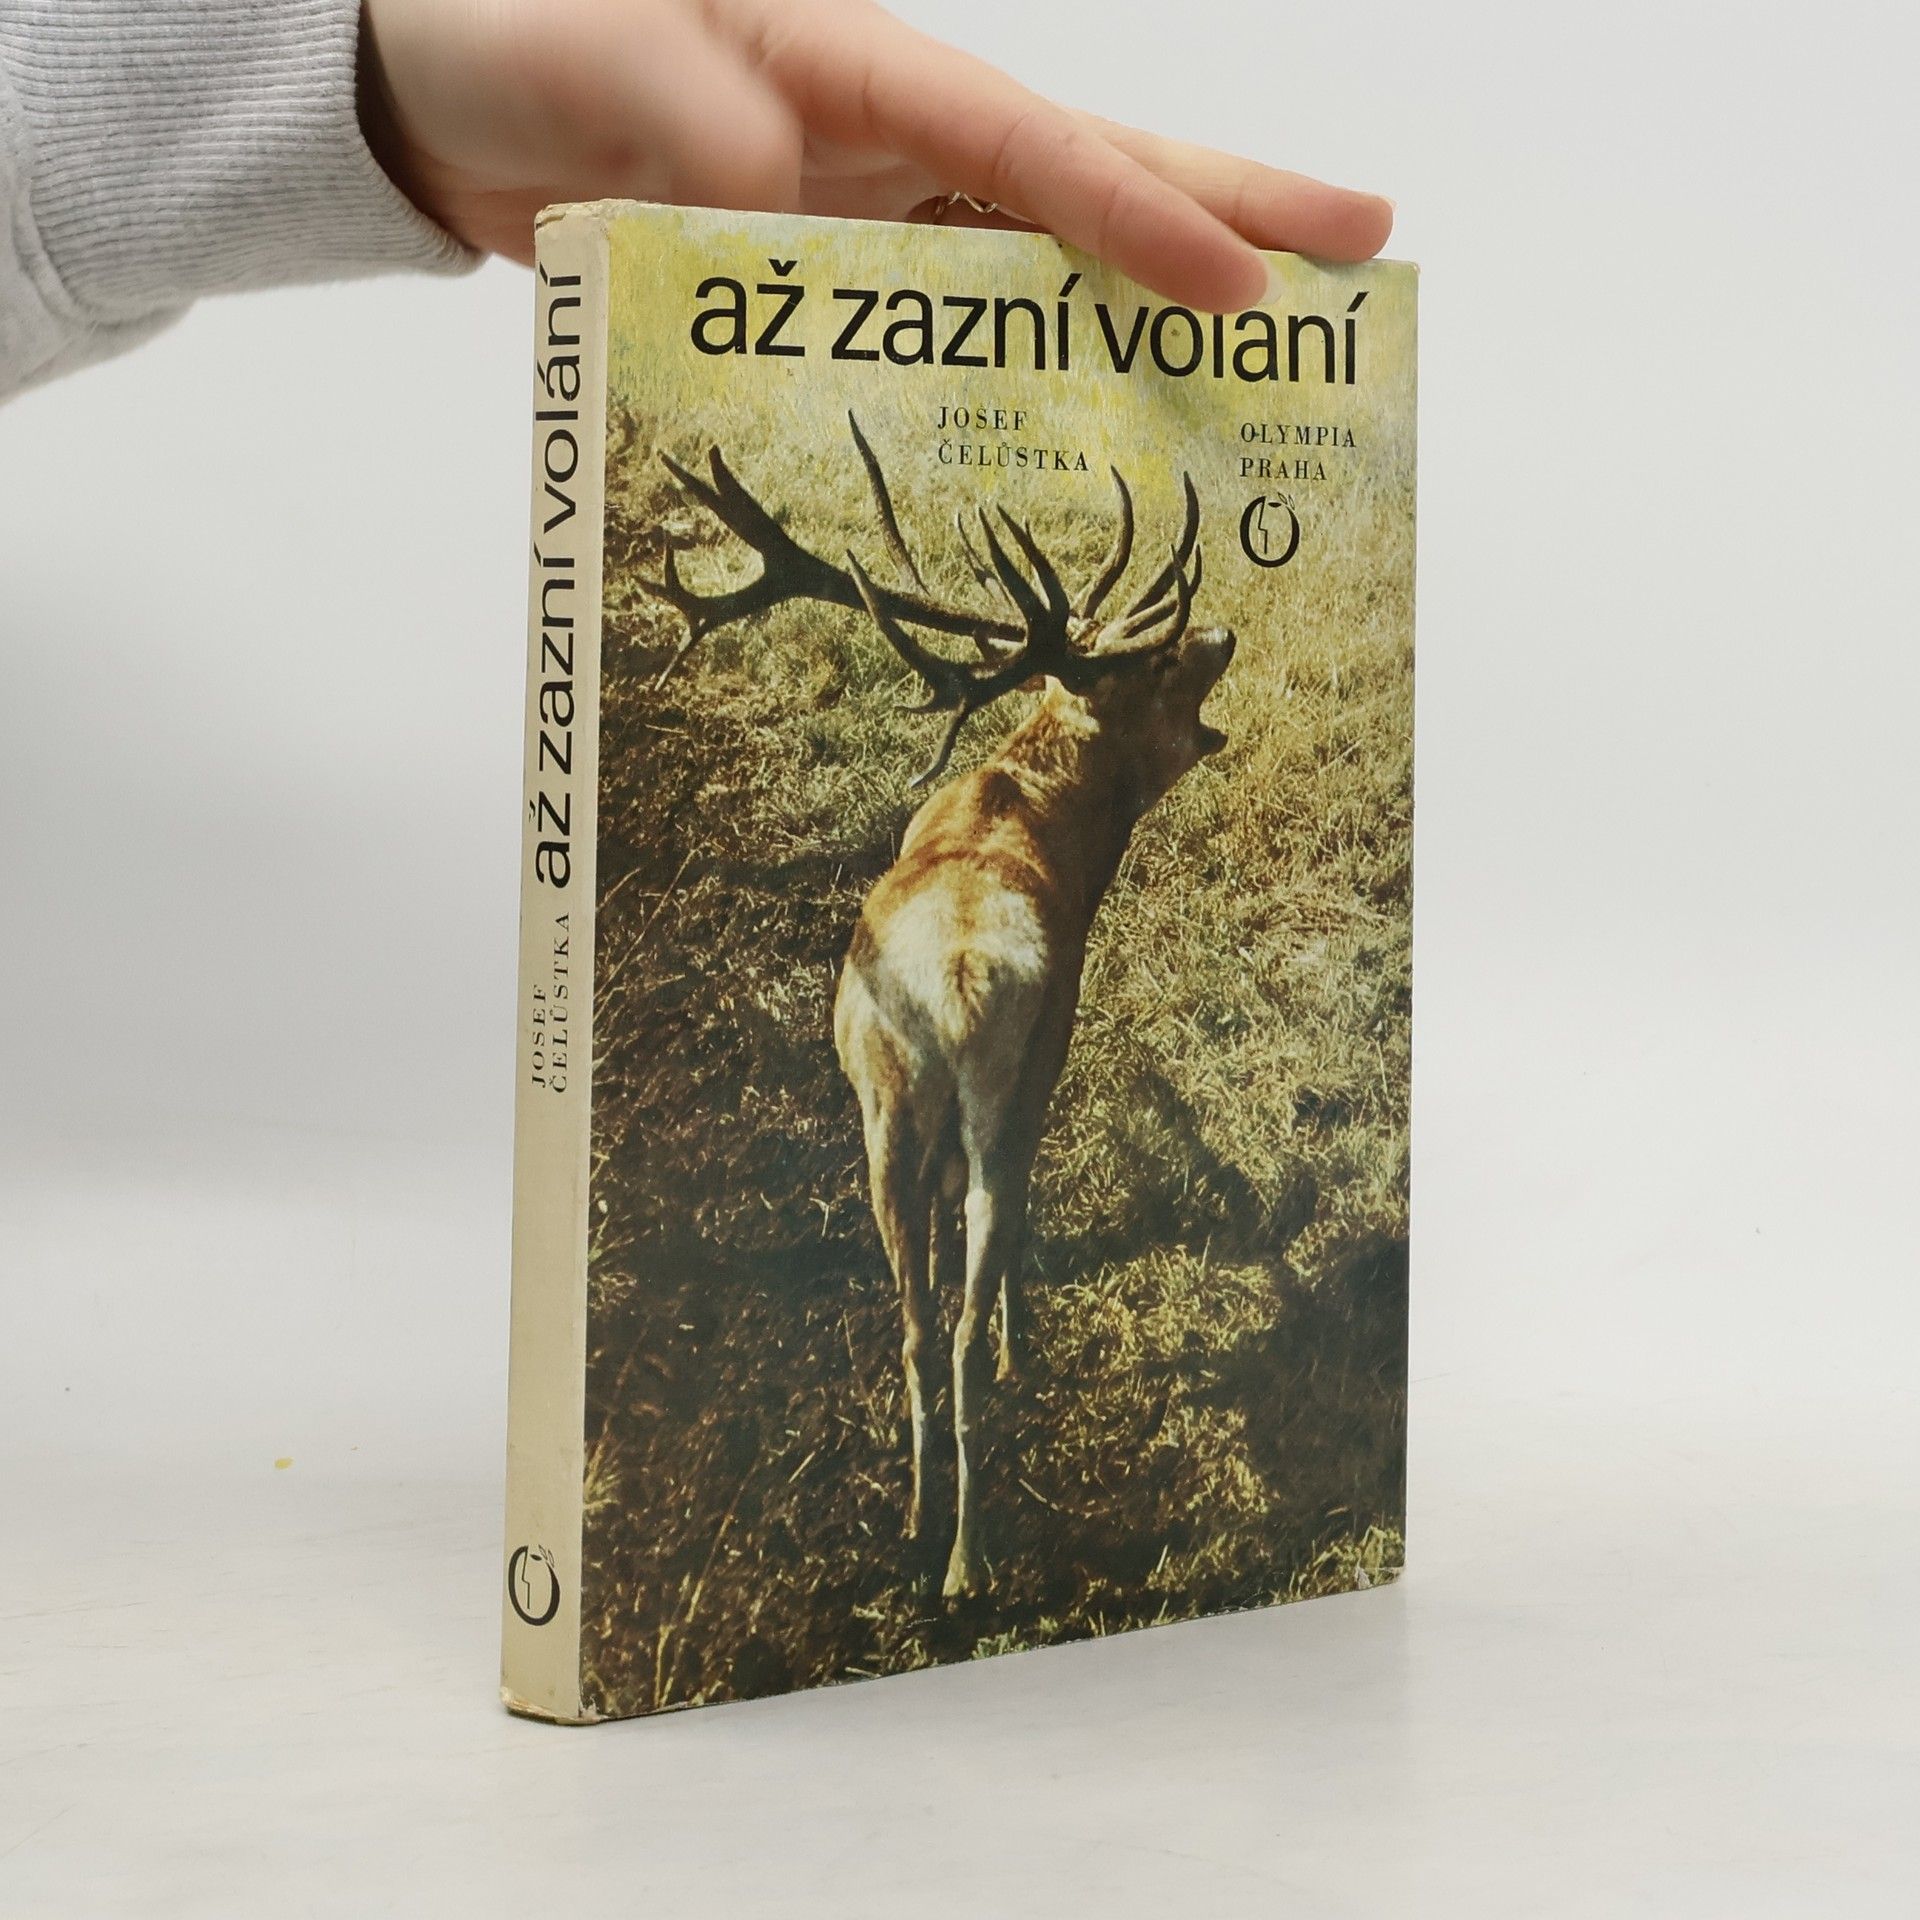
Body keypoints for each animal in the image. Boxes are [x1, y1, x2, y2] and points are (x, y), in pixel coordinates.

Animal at [647, 419, 1237, 1599]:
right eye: (1159, 659)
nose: (1227, 631)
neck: (1045, 825)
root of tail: (958, 993)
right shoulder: (1053, 1053)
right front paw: (1020, 1338)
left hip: (882, 1108)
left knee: (917, 1324)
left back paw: (923, 1517)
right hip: (1002, 1095)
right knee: (957, 1322)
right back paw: (970, 1555)